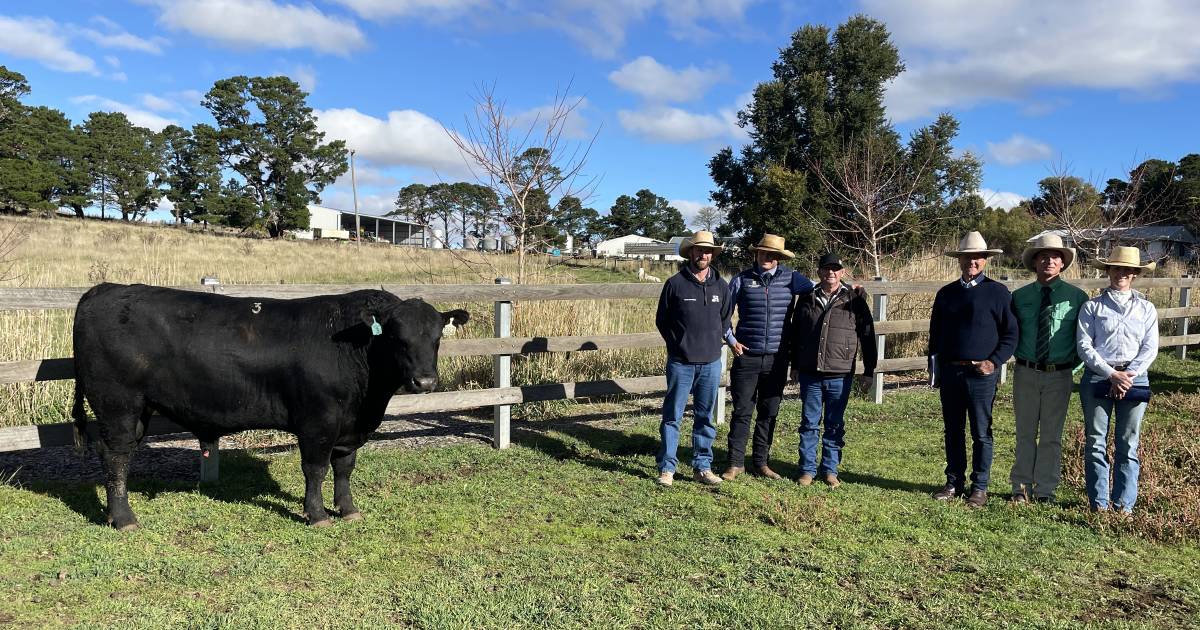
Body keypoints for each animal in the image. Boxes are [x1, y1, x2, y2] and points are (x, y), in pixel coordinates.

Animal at [71, 284, 468, 530]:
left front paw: (349, 510)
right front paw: (316, 514)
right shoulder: (318, 421)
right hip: (118, 405)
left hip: (138, 411)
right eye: (397, 337)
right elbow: (315, 469)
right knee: (116, 456)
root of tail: (105, 289)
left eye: (436, 338)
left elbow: (344, 468)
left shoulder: (350, 426)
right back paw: (124, 518)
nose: (425, 383)